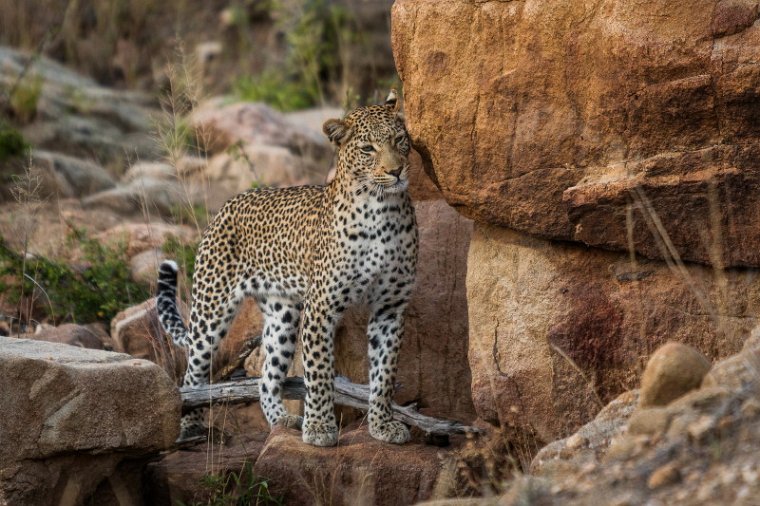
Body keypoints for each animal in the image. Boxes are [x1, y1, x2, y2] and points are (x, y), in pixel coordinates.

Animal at [154, 91, 416, 446]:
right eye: (367, 149)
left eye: (399, 140)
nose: (396, 171)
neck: (381, 211)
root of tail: (227, 204)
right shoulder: (322, 306)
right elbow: (319, 374)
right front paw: (319, 428)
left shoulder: (390, 307)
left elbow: (384, 374)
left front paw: (383, 425)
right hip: (211, 309)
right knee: (193, 372)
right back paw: (191, 426)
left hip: (283, 315)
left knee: (267, 376)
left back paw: (282, 419)